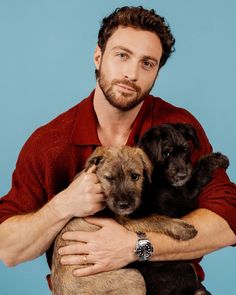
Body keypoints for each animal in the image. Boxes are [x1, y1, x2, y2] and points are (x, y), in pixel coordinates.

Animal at [51, 146, 197, 295]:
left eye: (135, 176)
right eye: (109, 178)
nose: (124, 205)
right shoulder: (125, 221)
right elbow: (154, 218)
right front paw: (181, 228)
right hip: (135, 277)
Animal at [136, 123, 230, 295]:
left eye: (186, 149)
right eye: (166, 153)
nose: (182, 174)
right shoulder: (186, 195)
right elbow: (198, 174)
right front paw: (216, 159)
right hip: (186, 267)